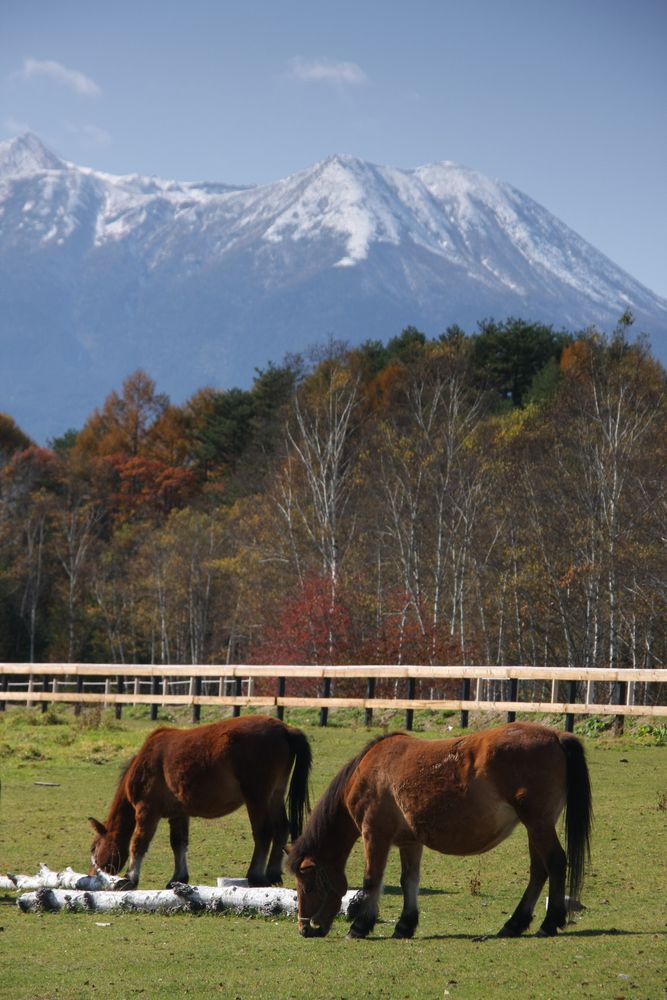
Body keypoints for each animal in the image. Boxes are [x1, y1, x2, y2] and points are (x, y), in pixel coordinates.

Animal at [89, 715, 311, 889]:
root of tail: (285, 729)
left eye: (93, 848)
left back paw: (255, 876)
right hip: (275, 796)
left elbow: (139, 842)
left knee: (264, 833)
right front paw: (178, 878)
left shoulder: (147, 811)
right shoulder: (178, 814)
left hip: (257, 798)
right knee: (281, 828)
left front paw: (130, 878)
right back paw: (273, 874)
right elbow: (179, 843)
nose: (92, 875)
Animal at [288, 721, 592, 939]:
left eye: (309, 883)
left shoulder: (374, 835)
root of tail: (556, 736)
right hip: (535, 827)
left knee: (555, 863)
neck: (369, 773)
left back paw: (549, 923)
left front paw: (360, 927)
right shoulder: (410, 842)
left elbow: (372, 879)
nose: (305, 929)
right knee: (539, 871)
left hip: (538, 823)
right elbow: (409, 880)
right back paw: (514, 924)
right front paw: (405, 925)